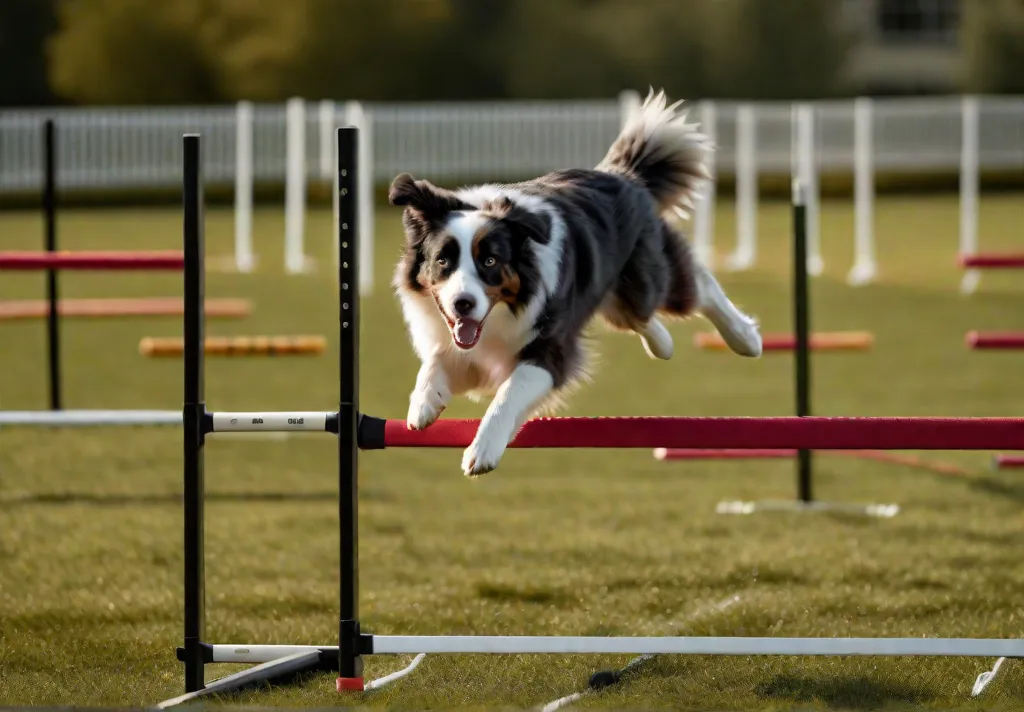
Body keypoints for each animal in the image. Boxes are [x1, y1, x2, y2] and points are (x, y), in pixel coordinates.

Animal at [387, 90, 765, 479]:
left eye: (490, 261)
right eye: (442, 261)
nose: (463, 303)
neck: (504, 311)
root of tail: (624, 175)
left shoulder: (550, 346)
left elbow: (509, 393)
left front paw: (482, 451)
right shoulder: (465, 345)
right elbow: (434, 361)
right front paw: (424, 403)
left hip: (645, 281)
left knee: (694, 286)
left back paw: (745, 338)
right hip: (616, 297)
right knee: (639, 317)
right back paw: (664, 344)